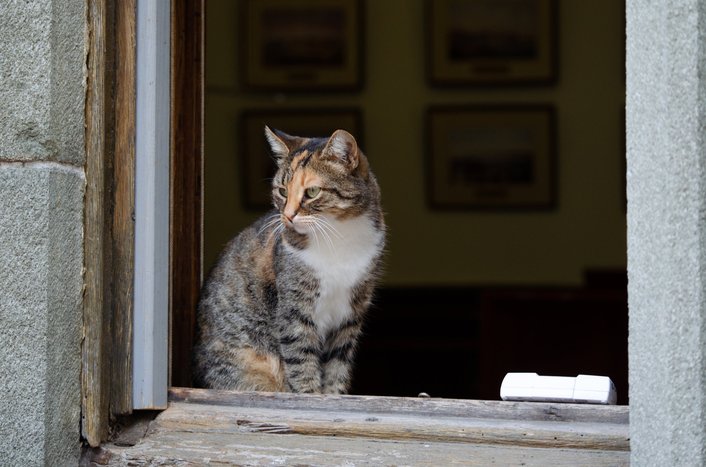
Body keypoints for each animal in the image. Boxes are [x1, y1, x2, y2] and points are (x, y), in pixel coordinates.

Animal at [192, 127, 384, 394]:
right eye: (282, 191)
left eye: (312, 192)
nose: (288, 215)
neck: (338, 236)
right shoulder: (294, 309)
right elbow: (301, 362)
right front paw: (311, 396)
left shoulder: (350, 315)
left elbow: (337, 367)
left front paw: (334, 396)